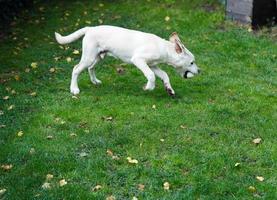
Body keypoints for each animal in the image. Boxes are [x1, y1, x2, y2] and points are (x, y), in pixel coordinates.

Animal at [54, 25, 198, 96]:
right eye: (191, 62)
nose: (200, 71)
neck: (163, 47)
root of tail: (90, 28)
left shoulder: (152, 65)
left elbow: (164, 75)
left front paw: (169, 90)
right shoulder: (139, 60)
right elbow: (151, 76)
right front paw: (148, 87)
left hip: (99, 56)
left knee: (90, 68)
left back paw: (95, 81)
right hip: (89, 57)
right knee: (76, 69)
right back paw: (74, 89)